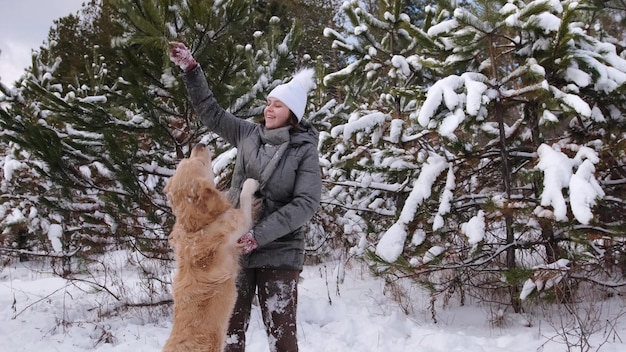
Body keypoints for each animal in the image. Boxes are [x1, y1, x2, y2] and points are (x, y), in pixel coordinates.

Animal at [163, 143, 258, 352]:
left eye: (187, 159)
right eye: (200, 163)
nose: (200, 144)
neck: (196, 226)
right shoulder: (240, 221)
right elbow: (244, 196)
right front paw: (251, 183)